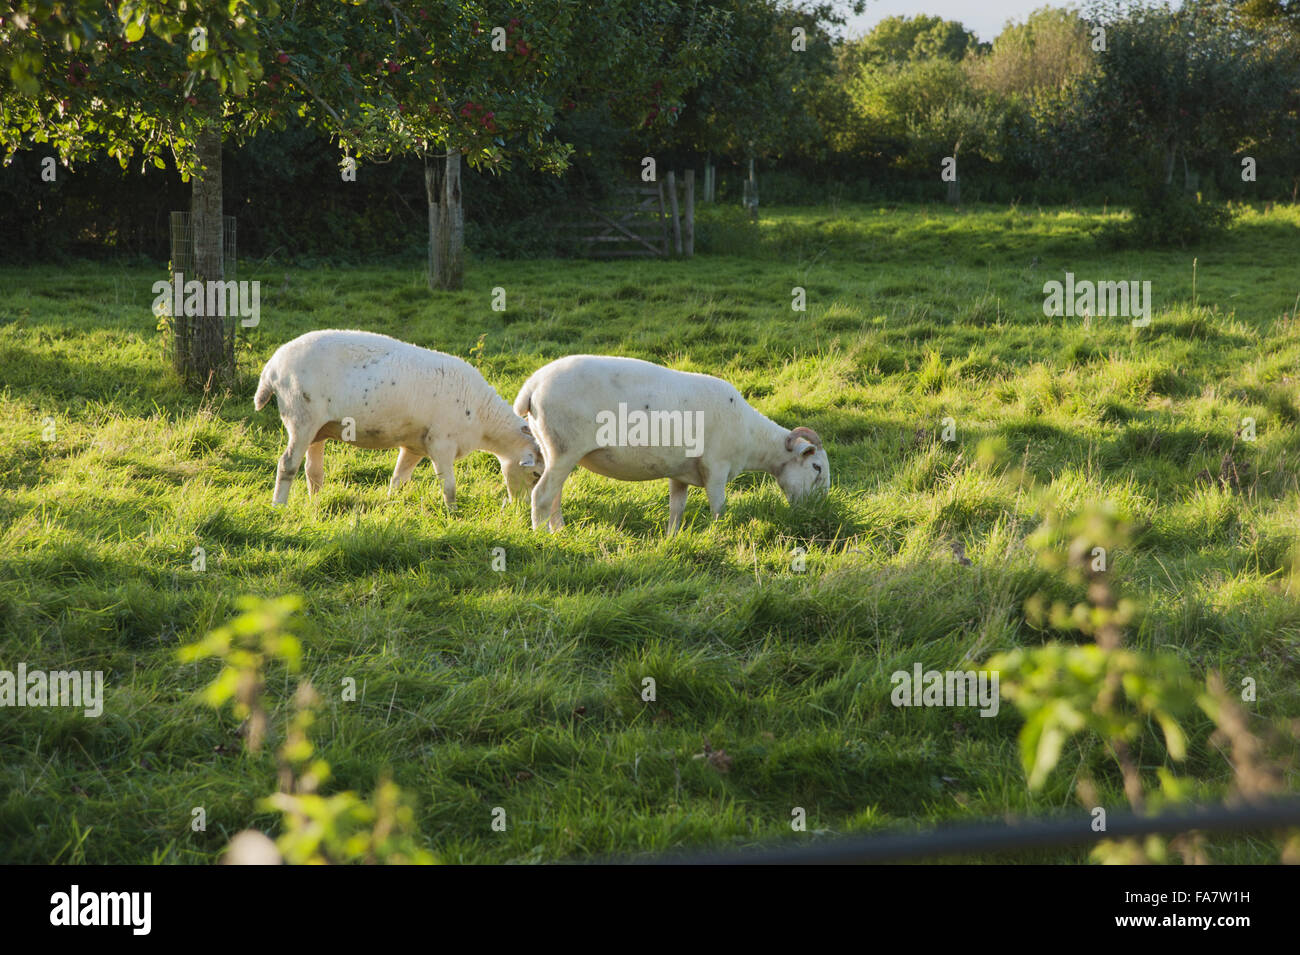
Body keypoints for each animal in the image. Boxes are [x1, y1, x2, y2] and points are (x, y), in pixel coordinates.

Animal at [250, 328, 540, 509]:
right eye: (536, 473)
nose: (524, 510)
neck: (483, 418)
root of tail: (271, 368)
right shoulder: (441, 443)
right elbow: (449, 486)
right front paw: (453, 513)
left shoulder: (415, 446)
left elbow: (398, 480)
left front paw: (391, 505)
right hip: (301, 417)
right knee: (287, 464)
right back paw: (279, 505)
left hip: (317, 427)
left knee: (313, 470)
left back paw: (316, 502)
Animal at [512, 356, 826, 535]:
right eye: (817, 467)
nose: (817, 511)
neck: (751, 437)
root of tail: (533, 385)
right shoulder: (716, 466)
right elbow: (719, 507)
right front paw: (718, 535)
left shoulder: (680, 472)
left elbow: (677, 508)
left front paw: (671, 538)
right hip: (563, 447)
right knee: (542, 495)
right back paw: (541, 537)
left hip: (554, 448)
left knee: (554, 495)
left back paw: (559, 532)